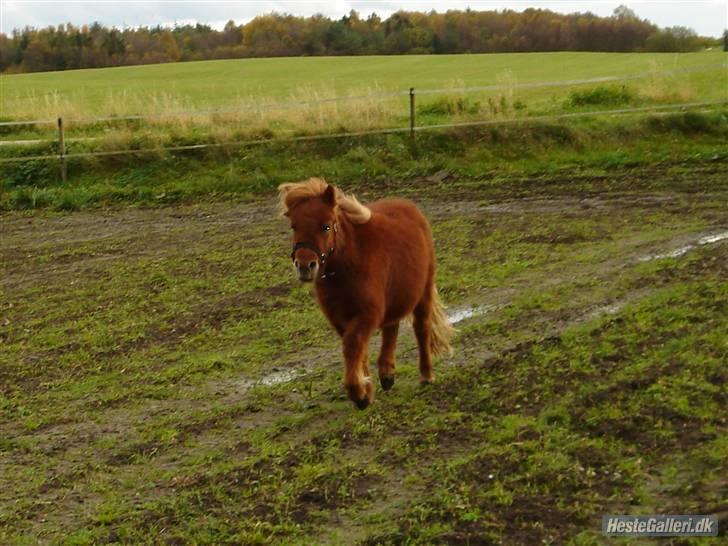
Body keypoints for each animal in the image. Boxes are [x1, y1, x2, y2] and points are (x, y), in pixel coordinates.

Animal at [278, 177, 456, 408]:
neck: (349, 264)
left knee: (421, 329)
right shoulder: (340, 319)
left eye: (326, 226)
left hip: (423, 292)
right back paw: (387, 374)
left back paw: (426, 376)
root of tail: (410, 207)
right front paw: (366, 390)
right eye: (294, 226)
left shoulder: (368, 314)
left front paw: (358, 393)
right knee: (392, 328)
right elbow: (357, 350)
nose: (305, 266)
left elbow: (353, 345)